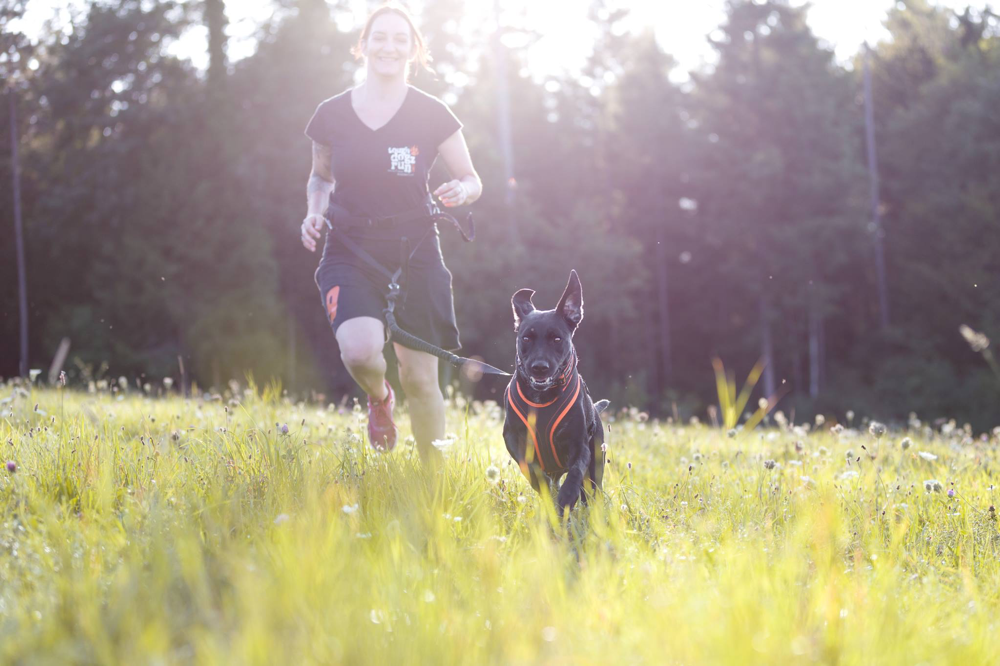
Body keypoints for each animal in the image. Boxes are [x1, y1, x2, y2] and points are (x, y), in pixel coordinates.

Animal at [500, 268, 608, 510]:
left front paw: (566, 498)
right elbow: (531, 469)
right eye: (526, 338)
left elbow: (576, 472)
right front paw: (545, 491)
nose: (539, 367)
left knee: (591, 488)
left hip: (597, 458)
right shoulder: (513, 438)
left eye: (557, 338)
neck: (542, 398)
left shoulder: (580, 444)